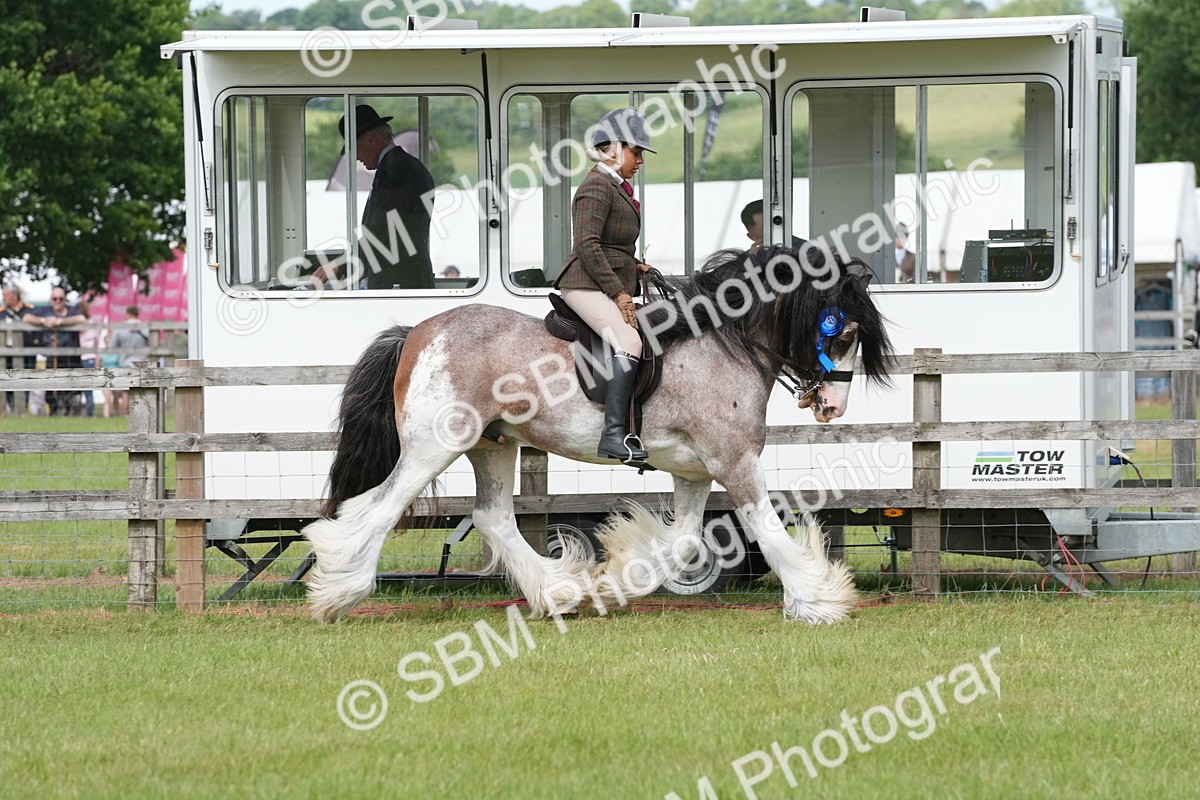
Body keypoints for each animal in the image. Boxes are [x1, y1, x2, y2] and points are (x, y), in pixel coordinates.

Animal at [302, 245, 894, 624]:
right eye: (840, 332)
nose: (833, 406)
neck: (721, 342)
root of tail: (418, 333)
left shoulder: (695, 471)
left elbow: (683, 544)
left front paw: (612, 583)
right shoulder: (735, 462)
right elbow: (767, 531)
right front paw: (818, 601)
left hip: (493, 445)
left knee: (492, 518)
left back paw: (560, 591)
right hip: (435, 446)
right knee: (378, 510)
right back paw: (339, 592)